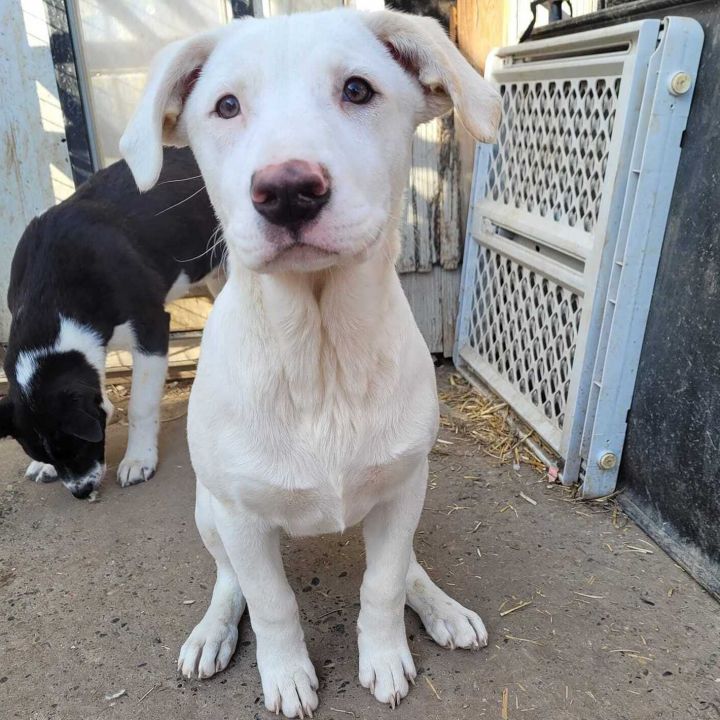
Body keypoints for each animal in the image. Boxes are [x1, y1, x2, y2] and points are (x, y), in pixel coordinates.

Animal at [0, 149, 219, 498]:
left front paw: (138, 459)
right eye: (48, 454)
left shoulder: (151, 327)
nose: (81, 492)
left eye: (77, 448)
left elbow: (140, 406)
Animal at [119, 8, 500, 716]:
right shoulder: (241, 517)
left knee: (405, 566)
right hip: (209, 511)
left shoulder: (403, 489)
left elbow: (382, 584)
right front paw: (287, 672)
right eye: (227, 105)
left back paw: (440, 607)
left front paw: (385, 655)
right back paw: (213, 631)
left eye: (357, 90)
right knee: (229, 580)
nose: (288, 191)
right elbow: (271, 601)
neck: (319, 357)